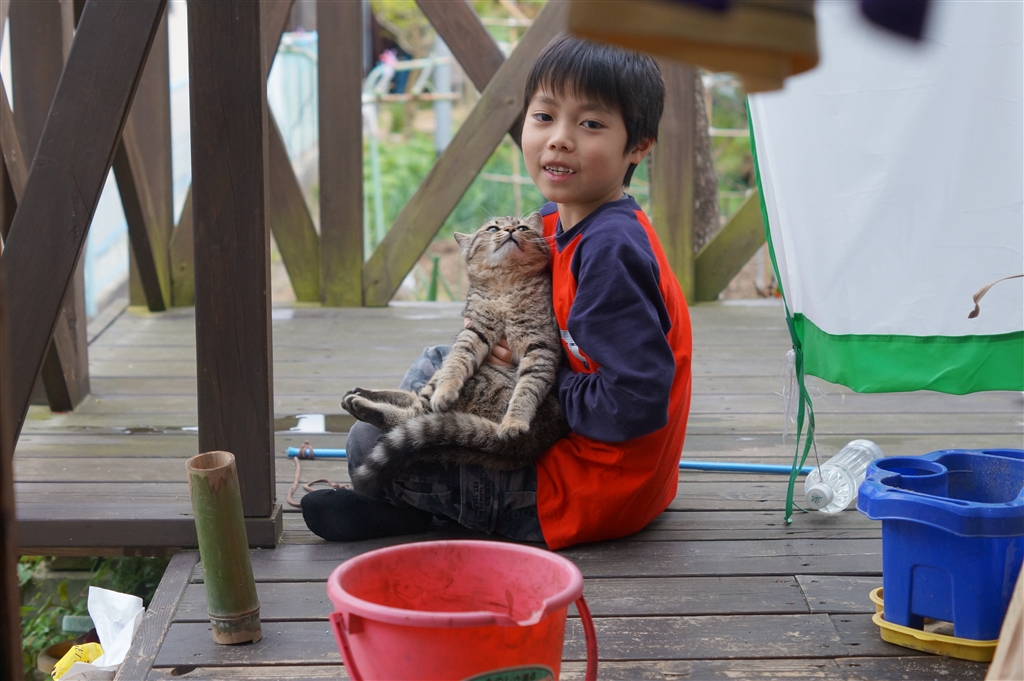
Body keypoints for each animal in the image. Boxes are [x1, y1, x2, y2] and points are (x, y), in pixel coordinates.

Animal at [342, 214, 569, 497]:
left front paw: (514, 422)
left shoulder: (540, 346)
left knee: (413, 415)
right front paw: (446, 390)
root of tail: (534, 444)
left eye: (522, 227)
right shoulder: (473, 332)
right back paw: (363, 393)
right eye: (492, 228)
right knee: (414, 399)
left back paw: (361, 403)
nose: (510, 230)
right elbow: (456, 364)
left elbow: (527, 389)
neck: (506, 284)